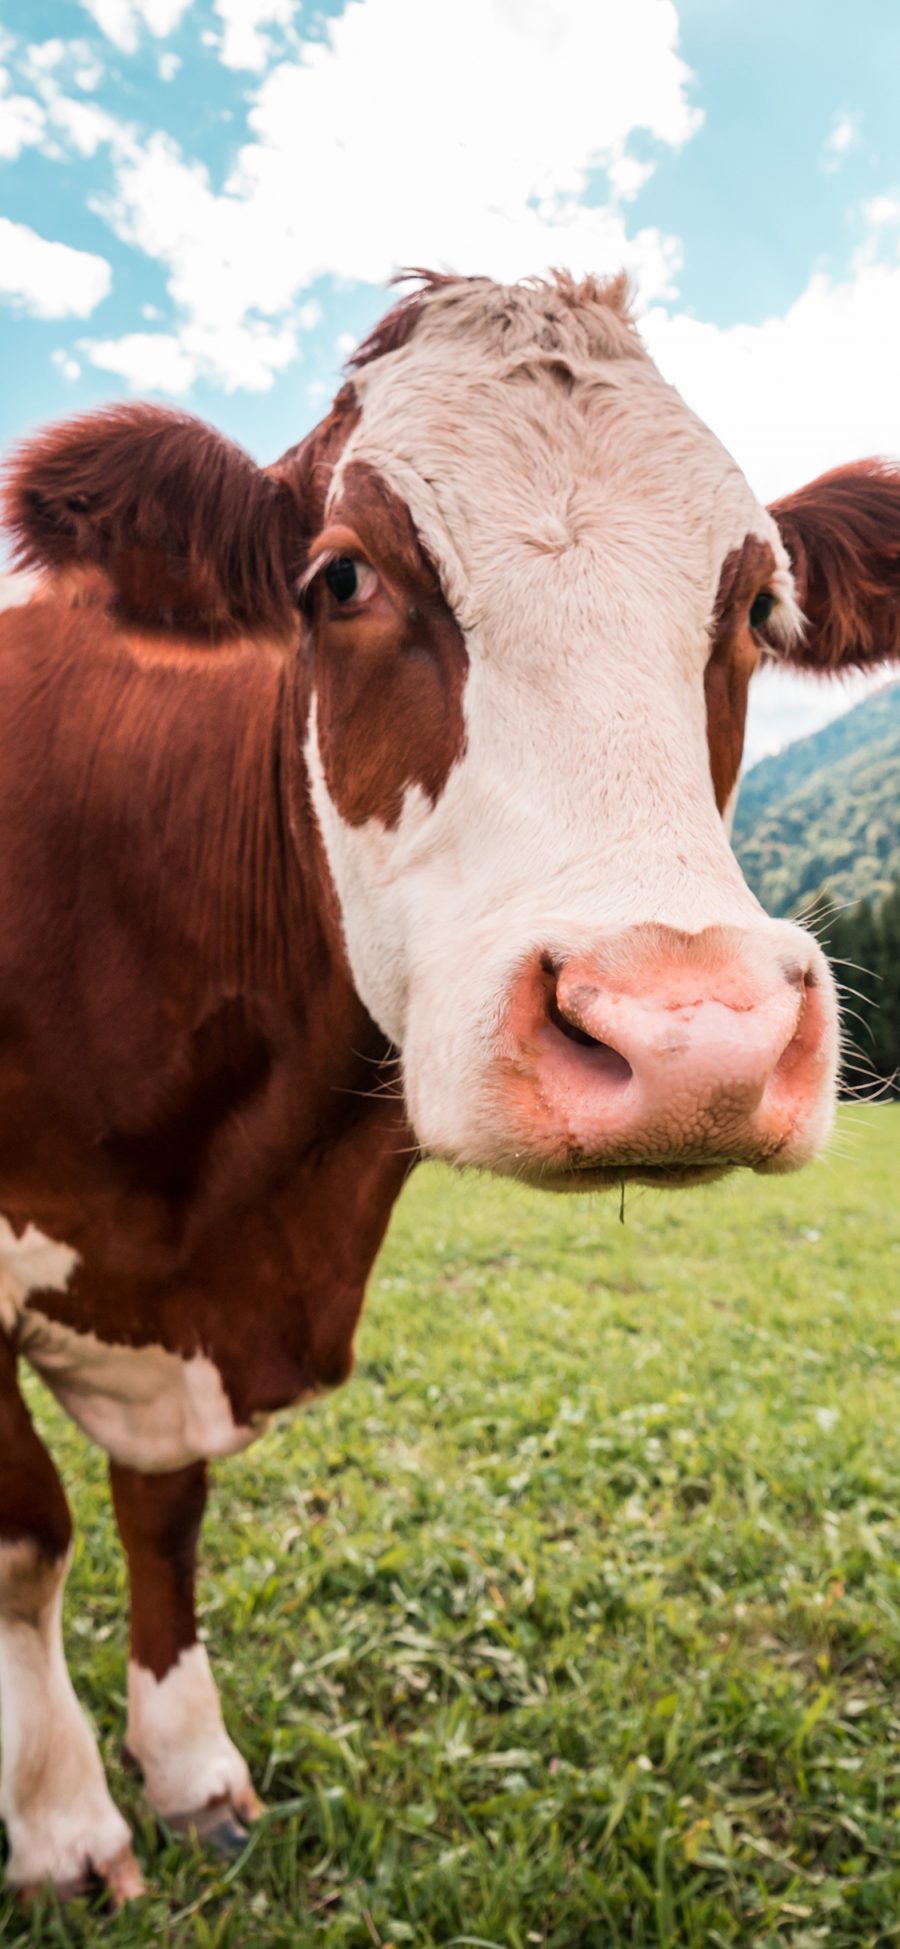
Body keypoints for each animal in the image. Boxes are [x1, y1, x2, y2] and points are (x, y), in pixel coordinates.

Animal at [1, 274, 900, 1902]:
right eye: (340, 577)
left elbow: (165, 1511)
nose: (693, 1036)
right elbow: (28, 1538)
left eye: (759, 608)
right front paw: (61, 1822)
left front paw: (190, 1770)